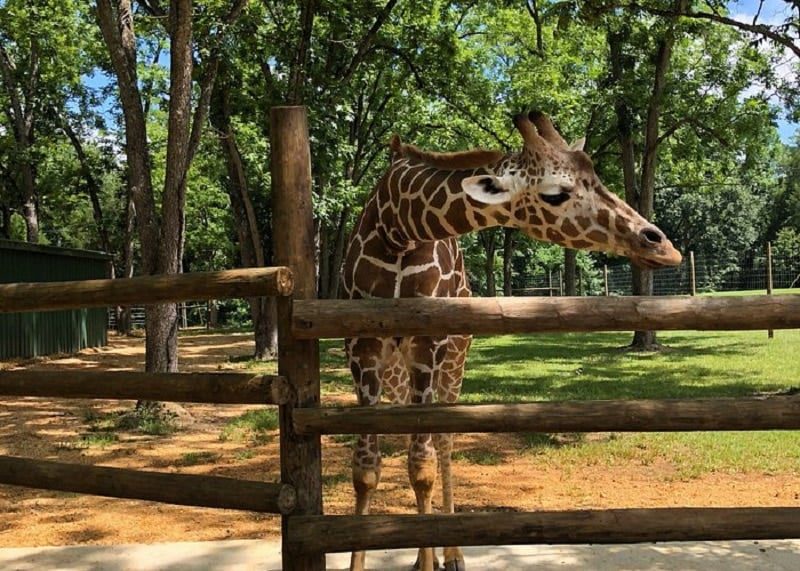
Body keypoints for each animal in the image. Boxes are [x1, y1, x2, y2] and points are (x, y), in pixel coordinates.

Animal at [338, 111, 680, 571]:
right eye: (556, 194)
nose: (661, 245)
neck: (398, 227)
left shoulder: (428, 345)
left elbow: (421, 465)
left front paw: (434, 558)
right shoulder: (362, 350)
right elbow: (366, 470)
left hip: (453, 358)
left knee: (443, 442)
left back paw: (450, 555)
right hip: (398, 370)